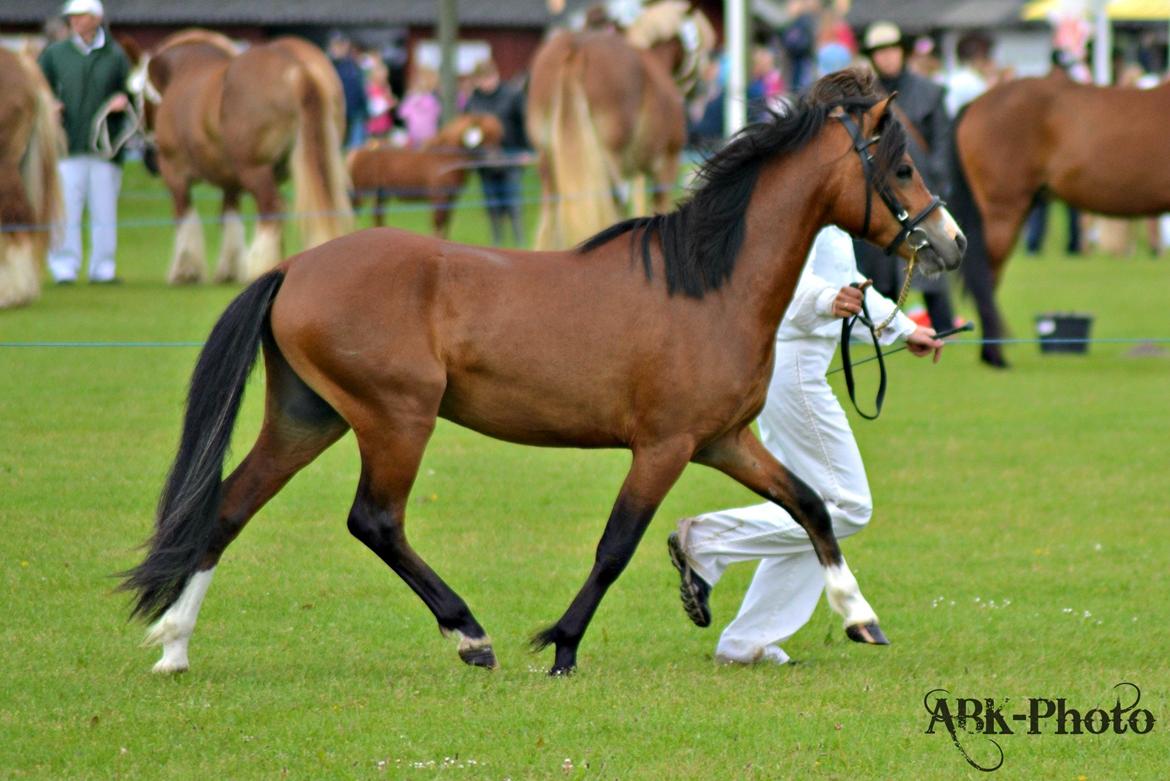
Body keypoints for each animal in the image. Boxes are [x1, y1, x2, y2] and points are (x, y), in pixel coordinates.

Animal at [142, 32, 351, 286]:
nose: (149, 159)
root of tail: (297, 66)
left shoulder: (174, 172)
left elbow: (184, 216)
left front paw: (185, 271)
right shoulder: (229, 180)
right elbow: (229, 216)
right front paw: (229, 270)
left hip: (255, 169)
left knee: (271, 206)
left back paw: (260, 266)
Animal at [341, 112, 498, 235]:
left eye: (496, 138)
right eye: (483, 138)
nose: (495, 163)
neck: (444, 159)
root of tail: (356, 151)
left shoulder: (451, 198)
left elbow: (446, 225)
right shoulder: (438, 197)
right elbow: (438, 224)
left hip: (380, 194)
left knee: (377, 216)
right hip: (361, 192)